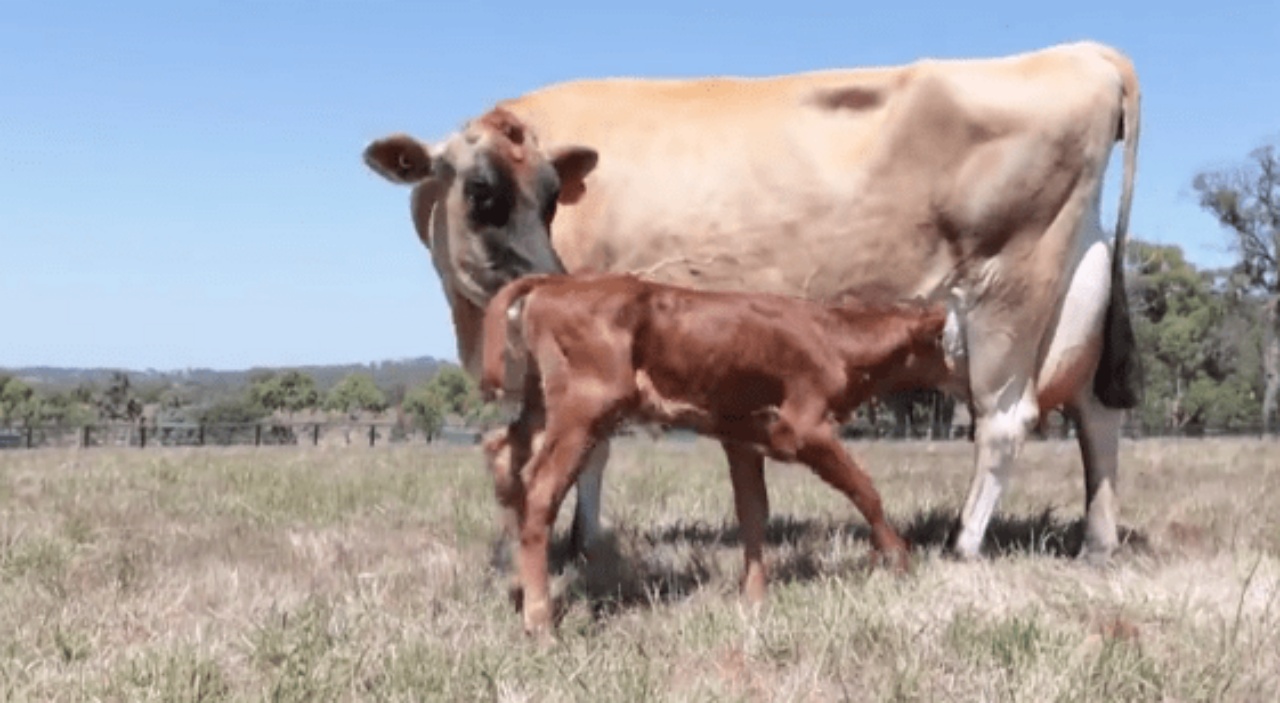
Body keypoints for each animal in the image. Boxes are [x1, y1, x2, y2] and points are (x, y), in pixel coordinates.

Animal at [366, 39, 1146, 563]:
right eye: (482, 191)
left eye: (554, 197)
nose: (550, 277)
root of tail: (1080, 52)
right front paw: (588, 542)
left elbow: (583, 446)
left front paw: (569, 541)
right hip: (1078, 288)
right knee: (1097, 412)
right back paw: (1098, 540)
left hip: (1008, 292)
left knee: (1006, 420)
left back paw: (962, 543)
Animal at [481, 272, 962, 635]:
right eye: (951, 340)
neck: (833, 338)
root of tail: (558, 283)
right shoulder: (805, 430)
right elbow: (864, 489)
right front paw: (898, 558)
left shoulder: (742, 438)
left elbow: (753, 512)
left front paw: (754, 599)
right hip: (585, 407)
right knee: (540, 491)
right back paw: (541, 621)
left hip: (543, 408)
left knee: (504, 455)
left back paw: (519, 588)